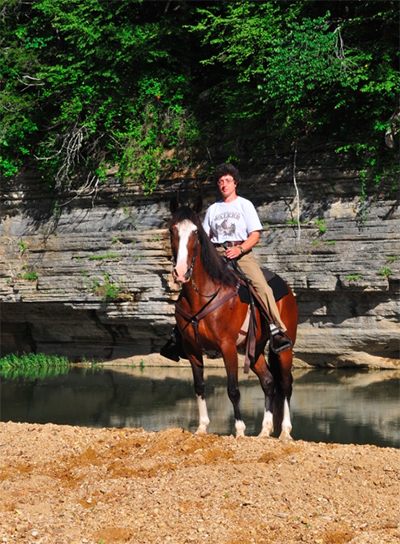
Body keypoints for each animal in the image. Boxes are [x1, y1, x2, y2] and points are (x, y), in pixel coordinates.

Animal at [168, 198, 296, 440]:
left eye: (196, 232)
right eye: (172, 230)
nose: (180, 272)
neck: (203, 295)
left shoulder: (227, 347)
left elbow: (233, 389)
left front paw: (239, 430)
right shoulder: (192, 349)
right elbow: (199, 386)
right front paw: (202, 427)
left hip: (285, 349)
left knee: (285, 384)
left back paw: (285, 431)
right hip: (254, 350)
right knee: (268, 382)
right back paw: (265, 430)